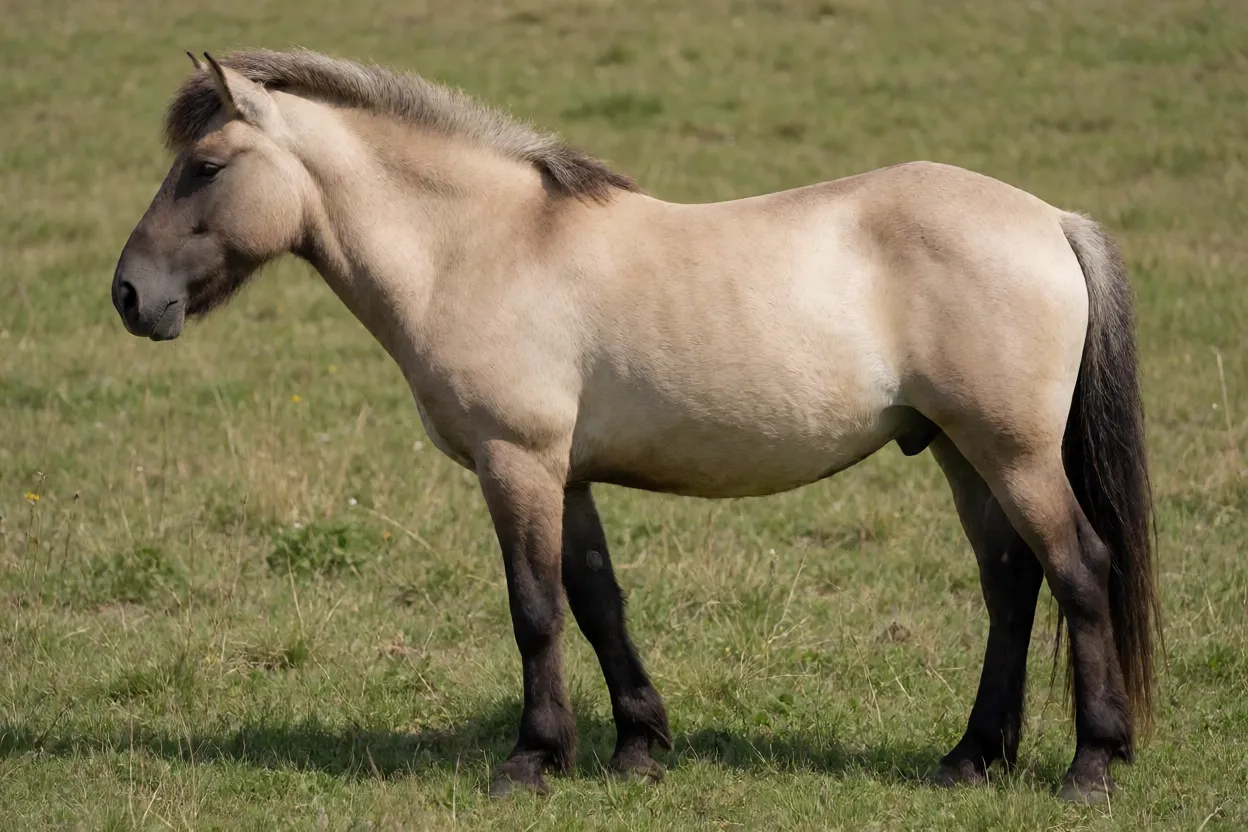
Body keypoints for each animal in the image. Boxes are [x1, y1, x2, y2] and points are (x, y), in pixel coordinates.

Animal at [111, 49, 1161, 804]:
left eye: (205, 167)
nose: (129, 296)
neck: (478, 246)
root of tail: (1050, 220)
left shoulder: (516, 463)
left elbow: (535, 608)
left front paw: (531, 761)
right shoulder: (565, 475)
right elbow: (596, 598)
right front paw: (638, 747)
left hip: (1012, 454)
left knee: (1080, 570)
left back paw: (1090, 768)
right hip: (958, 451)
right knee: (1012, 586)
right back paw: (971, 758)